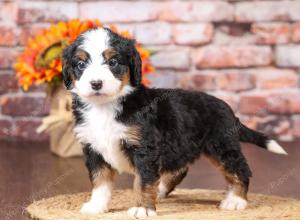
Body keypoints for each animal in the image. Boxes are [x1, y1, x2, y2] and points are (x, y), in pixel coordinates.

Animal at [62, 27, 288, 218]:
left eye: (113, 62)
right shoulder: (93, 148)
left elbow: (142, 181)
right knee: (179, 169)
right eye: (80, 64)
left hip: (222, 146)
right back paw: (161, 189)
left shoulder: (144, 149)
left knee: (240, 170)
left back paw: (236, 201)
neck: (105, 106)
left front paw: (142, 208)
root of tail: (228, 109)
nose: (96, 84)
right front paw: (96, 206)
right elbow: (100, 180)